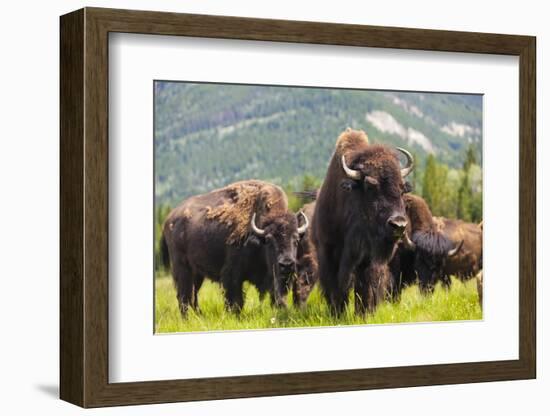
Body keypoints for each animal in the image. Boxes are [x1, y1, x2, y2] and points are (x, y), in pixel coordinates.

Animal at [162, 180, 312, 316]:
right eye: (269, 240)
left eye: (296, 240)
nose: (286, 264)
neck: (258, 237)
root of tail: (169, 219)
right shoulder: (232, 275)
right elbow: (236, 300)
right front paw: (234, 316)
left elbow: (277, 296)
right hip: (182, 268)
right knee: (184, 296)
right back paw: (187, 319)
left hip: (197, 273)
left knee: (193, 296)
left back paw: (200, 316)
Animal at [312, 128, 416, 314]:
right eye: (369, 186)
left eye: (402, 188)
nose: (398, 225)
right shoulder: (328, 253)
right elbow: (336, 289)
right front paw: (337, 313)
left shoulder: (368, 260)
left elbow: (366, 289)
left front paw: (364, 314)